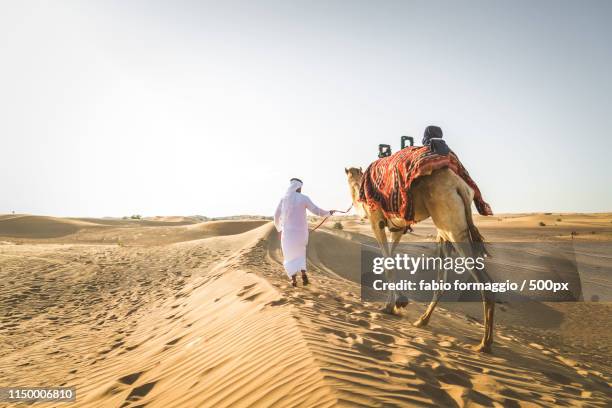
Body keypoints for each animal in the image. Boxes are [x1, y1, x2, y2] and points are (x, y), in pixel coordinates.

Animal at [346, 167, 494, 352]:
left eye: (350, 180)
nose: (355, 194)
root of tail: (461, 186)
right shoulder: (398, 228)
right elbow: (390, 259)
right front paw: (396, 304)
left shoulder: (376, 221)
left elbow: (386, 261)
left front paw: (392, 305)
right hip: (446, 229)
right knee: (442, 280)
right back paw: (422, 321)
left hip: (450, 224)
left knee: (483, 281)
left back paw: (484, 344)